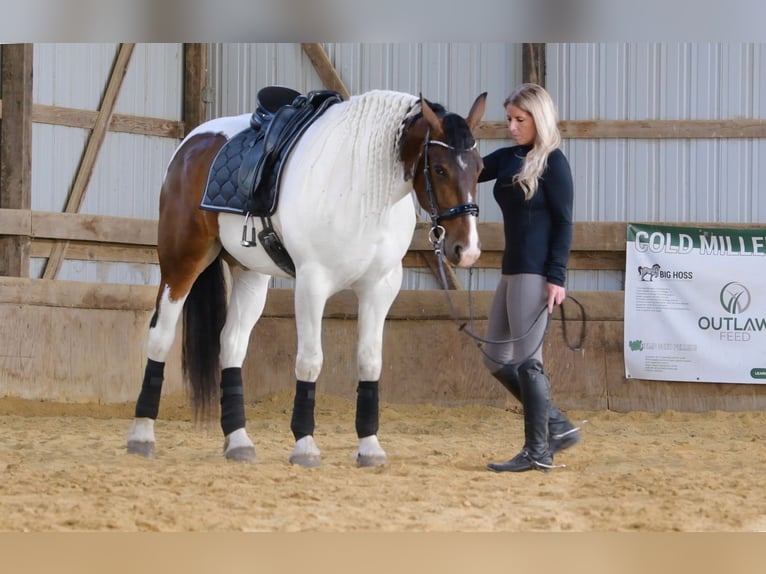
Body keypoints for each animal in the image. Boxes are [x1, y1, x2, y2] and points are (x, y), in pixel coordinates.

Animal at [125, 89, 486, 468]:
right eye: (440, 168)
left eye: (479, 169)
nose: (467, 250)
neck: (363, 187)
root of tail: (193, 142)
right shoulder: (313, 283)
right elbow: (310, 361)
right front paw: (305, 445)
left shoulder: (380, 287)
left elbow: (370, 361)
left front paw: (369, 447)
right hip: (182, 262)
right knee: (160, 337)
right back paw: (142, 435)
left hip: (250, 276)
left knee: (232, 344)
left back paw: (238, 441)